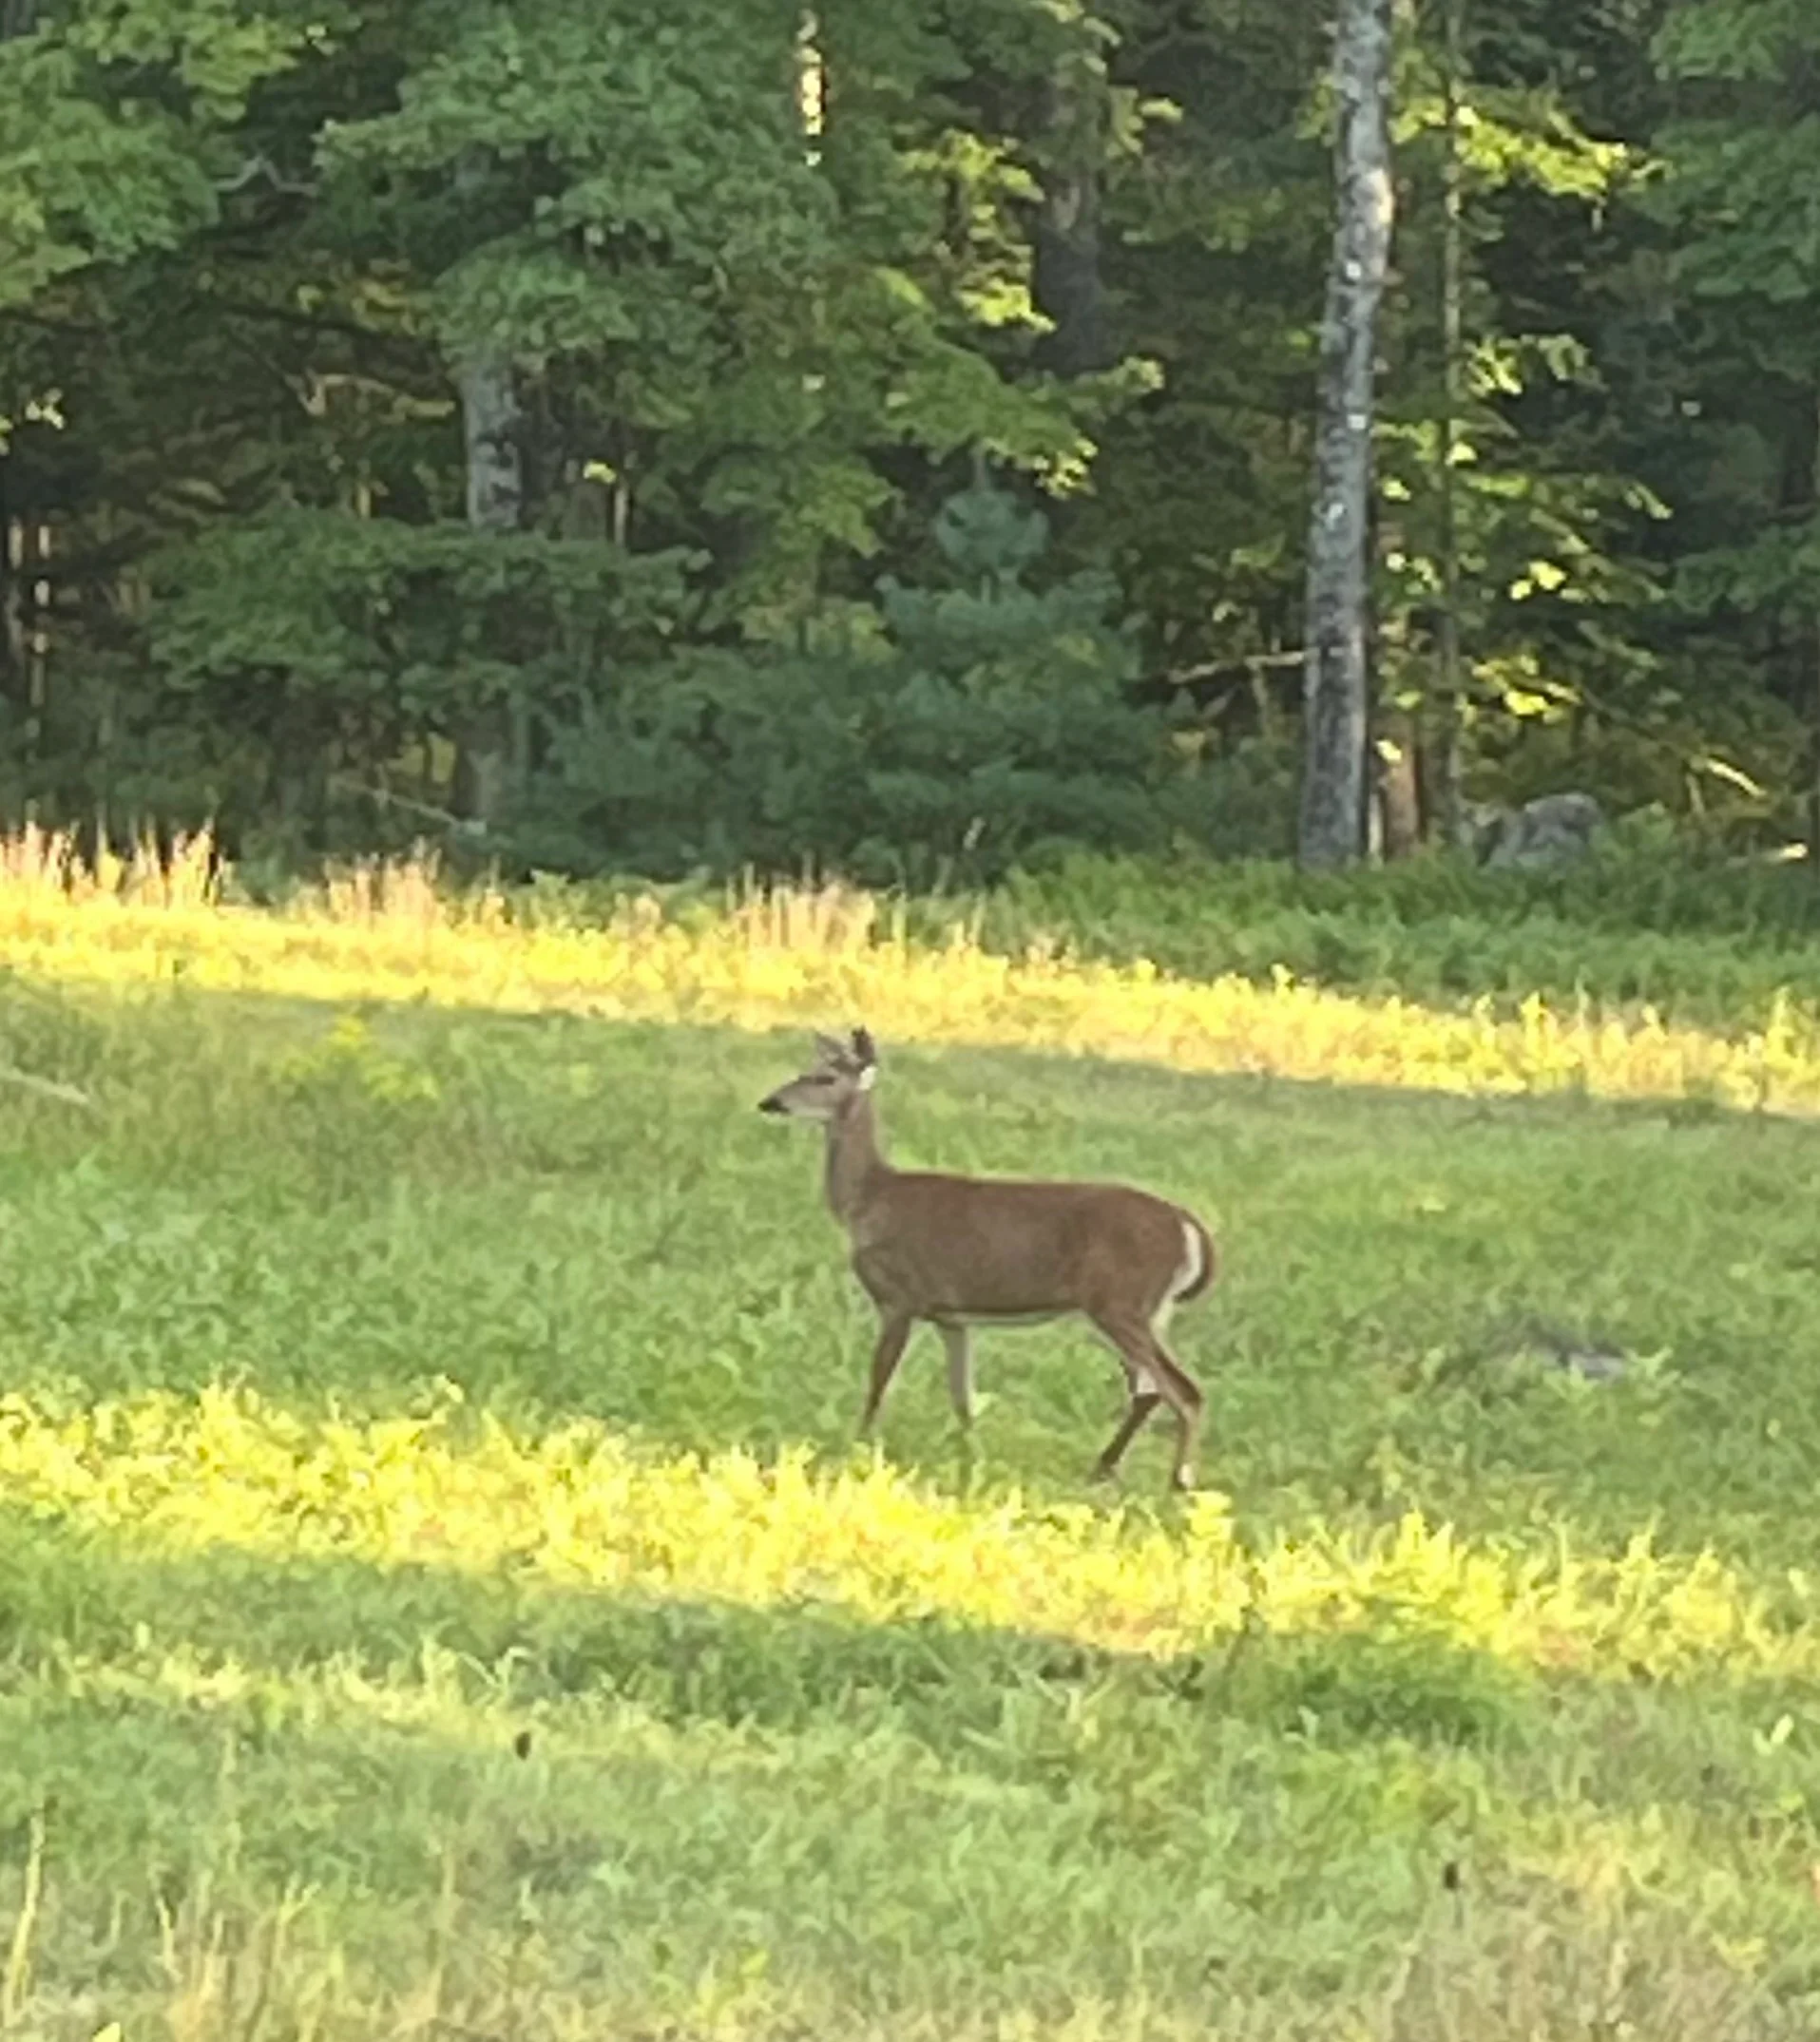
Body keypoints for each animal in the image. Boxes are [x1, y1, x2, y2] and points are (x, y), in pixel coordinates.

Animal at [757, 1027, 1217, 1491]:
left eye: (825, 1077)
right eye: (808, 1069)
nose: (771, 1102)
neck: (868, 1200)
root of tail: (1187, 1226)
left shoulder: (899, 1297)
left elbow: (879, 1382)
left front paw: (860, 1445)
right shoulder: (951, 1316)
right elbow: (964, 1399)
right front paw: (970, 1460)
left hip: (1120, 1303)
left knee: (1181, 1390)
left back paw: (1180, 1481)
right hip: (1142, 1311)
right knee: (1149, 1390)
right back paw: (1104, 1467)